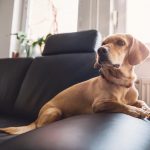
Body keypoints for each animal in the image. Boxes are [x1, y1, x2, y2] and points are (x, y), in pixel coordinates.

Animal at [0, 34, 150, 135]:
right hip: (54, 111)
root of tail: (36, 118)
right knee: (39, 126)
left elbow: (140, 102)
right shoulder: (100, 104)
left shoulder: (133, 99)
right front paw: (137, 111)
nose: (100, 50)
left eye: (121, 42)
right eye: (103, 42)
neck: (122, 84)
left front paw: (144, 108)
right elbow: (120, 104)